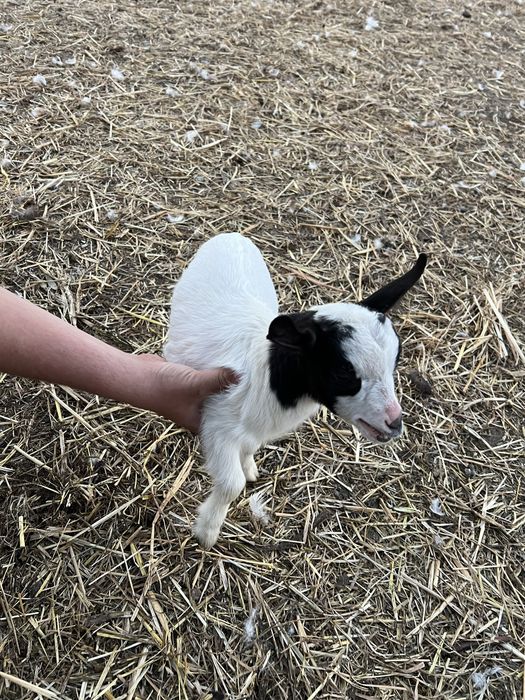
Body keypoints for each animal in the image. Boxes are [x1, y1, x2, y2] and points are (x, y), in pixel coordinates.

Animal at [165, 233, 427, 548]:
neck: (271, 375)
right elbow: (231, 484)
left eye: (396, 360)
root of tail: (232, 236)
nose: (394, 422)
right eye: (343, 371)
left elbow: (249, 449)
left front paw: (249, 466)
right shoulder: (218, 422)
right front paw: (207, 531)